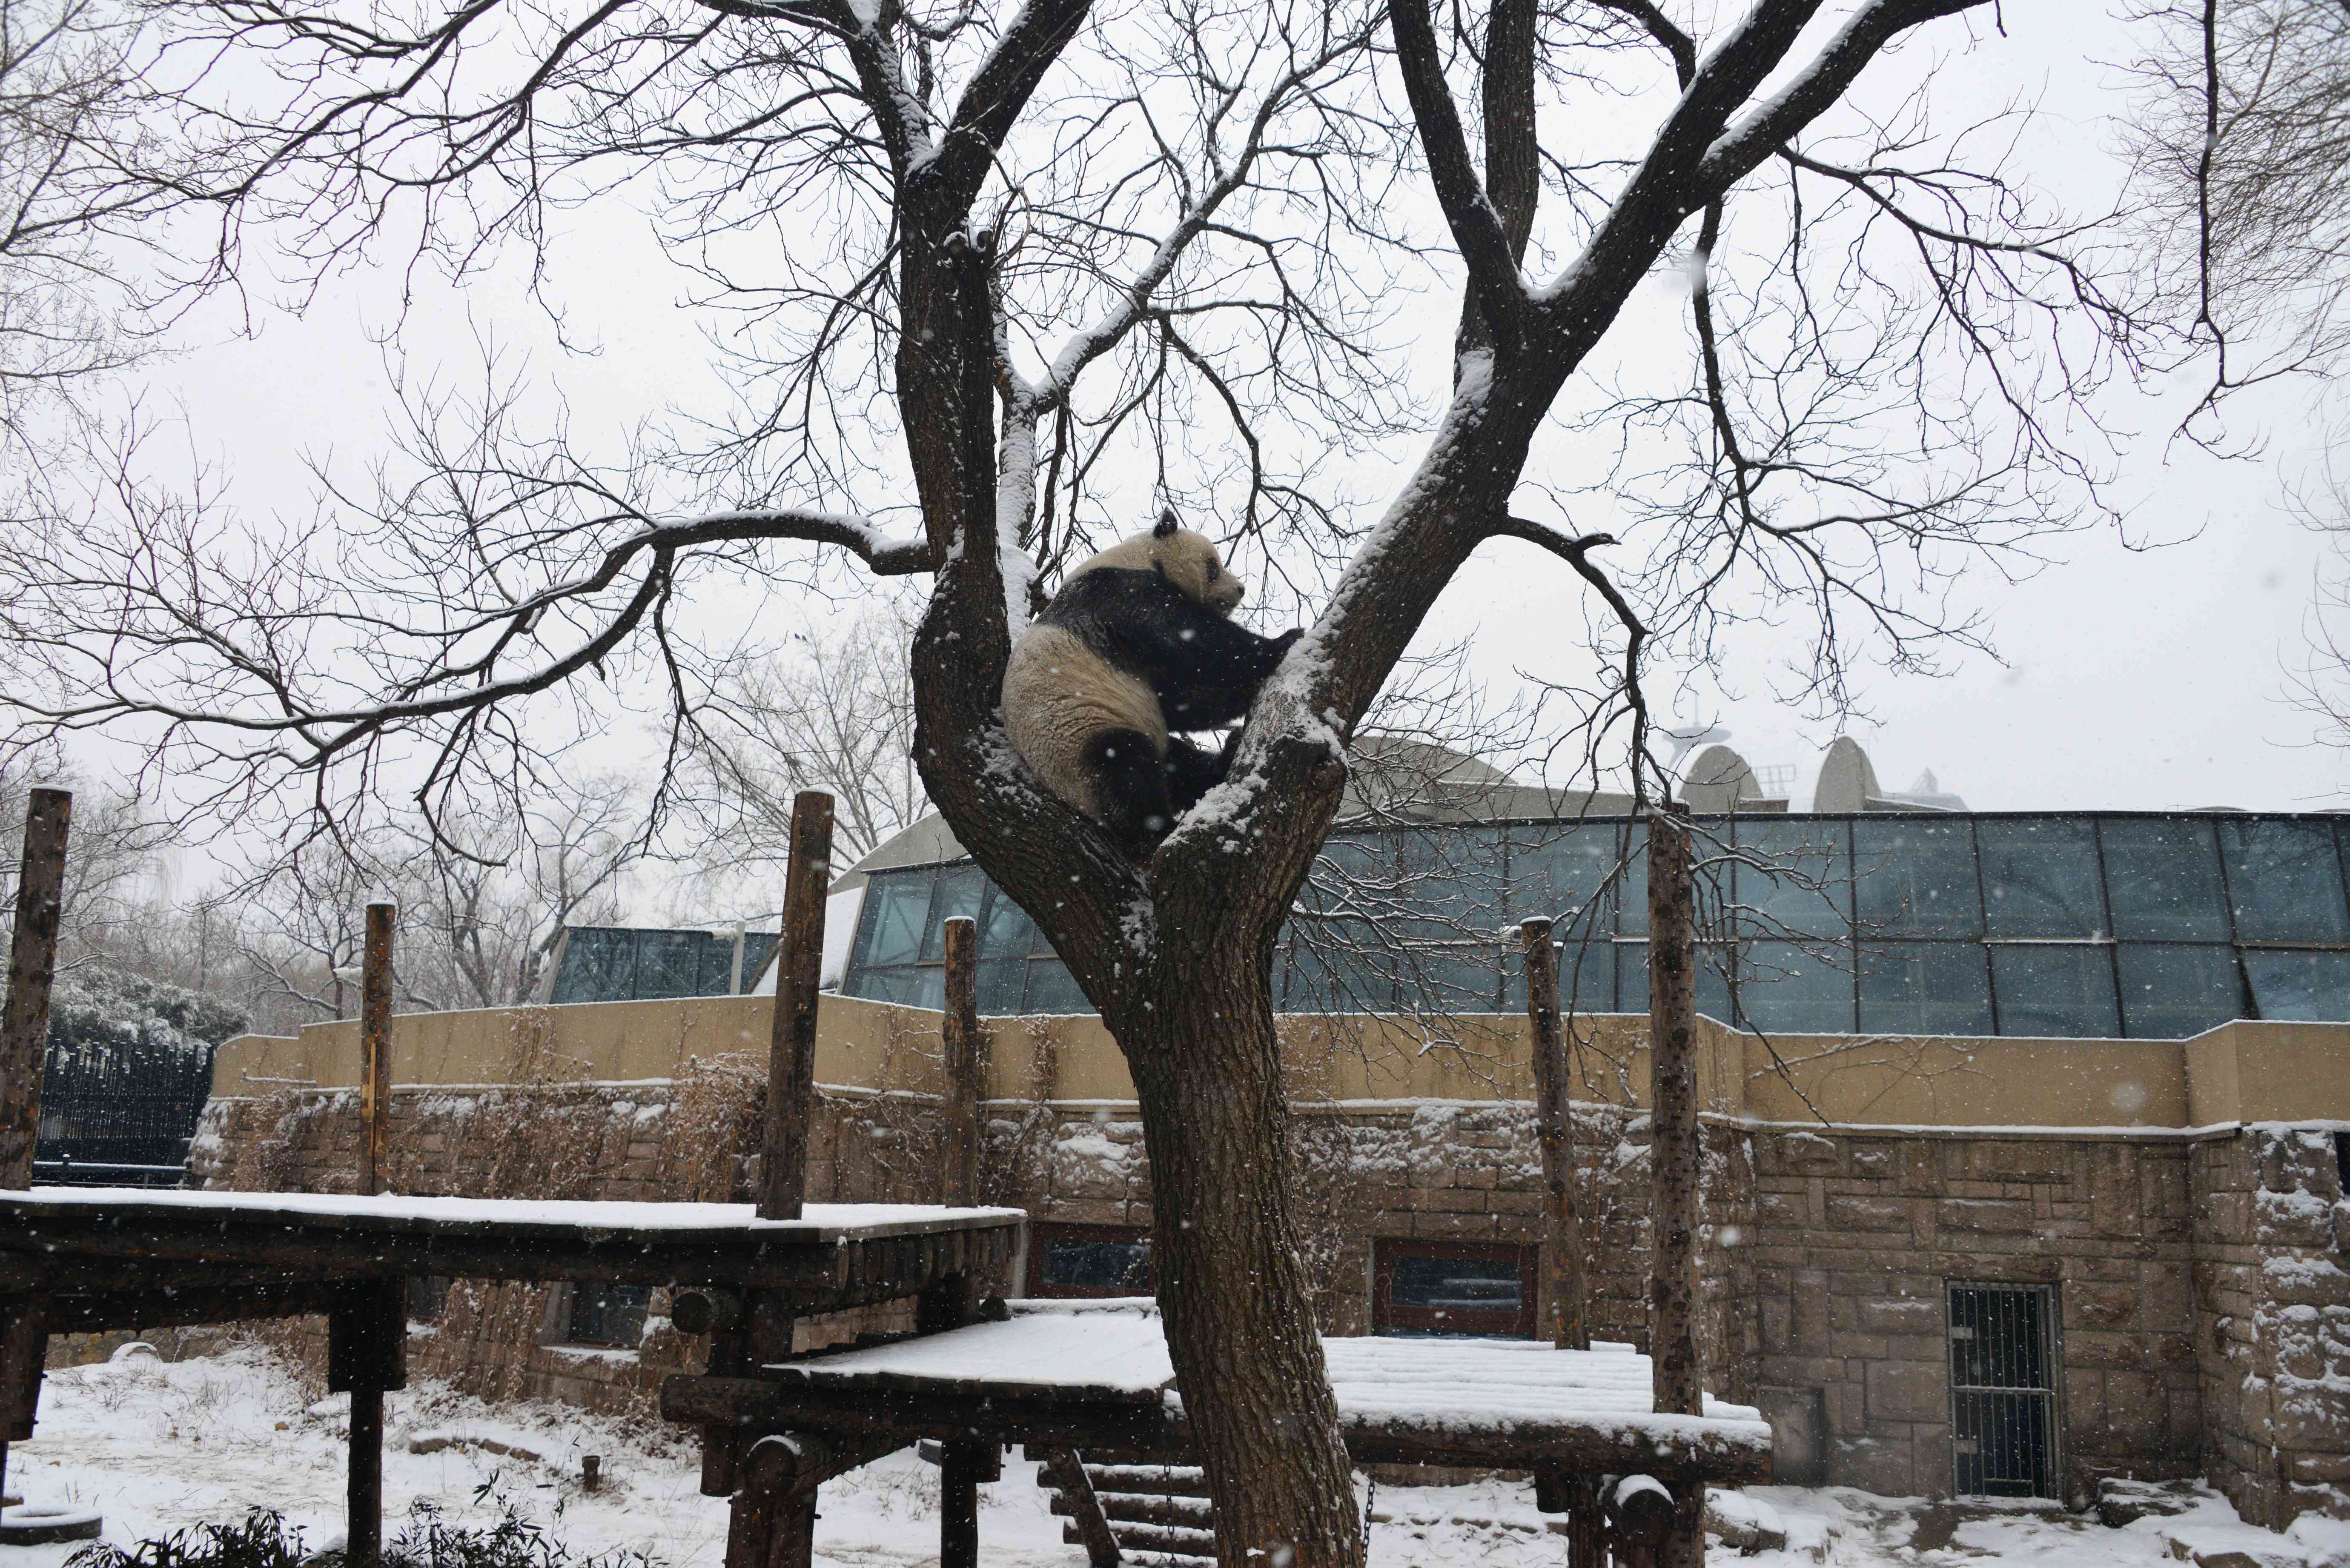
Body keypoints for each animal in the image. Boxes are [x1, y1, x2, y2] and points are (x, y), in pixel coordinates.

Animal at [1001, 512, 1307, 860]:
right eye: (1213, 567)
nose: (1241, 589)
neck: (1144, 556)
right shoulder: (1120, 595)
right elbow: (1192, 641)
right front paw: (1284, 642)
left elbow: (1182, 699)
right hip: (1076, 741)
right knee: (1125, 768)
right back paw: (1156, 832)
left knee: (1177, 762)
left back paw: (1225, 756)